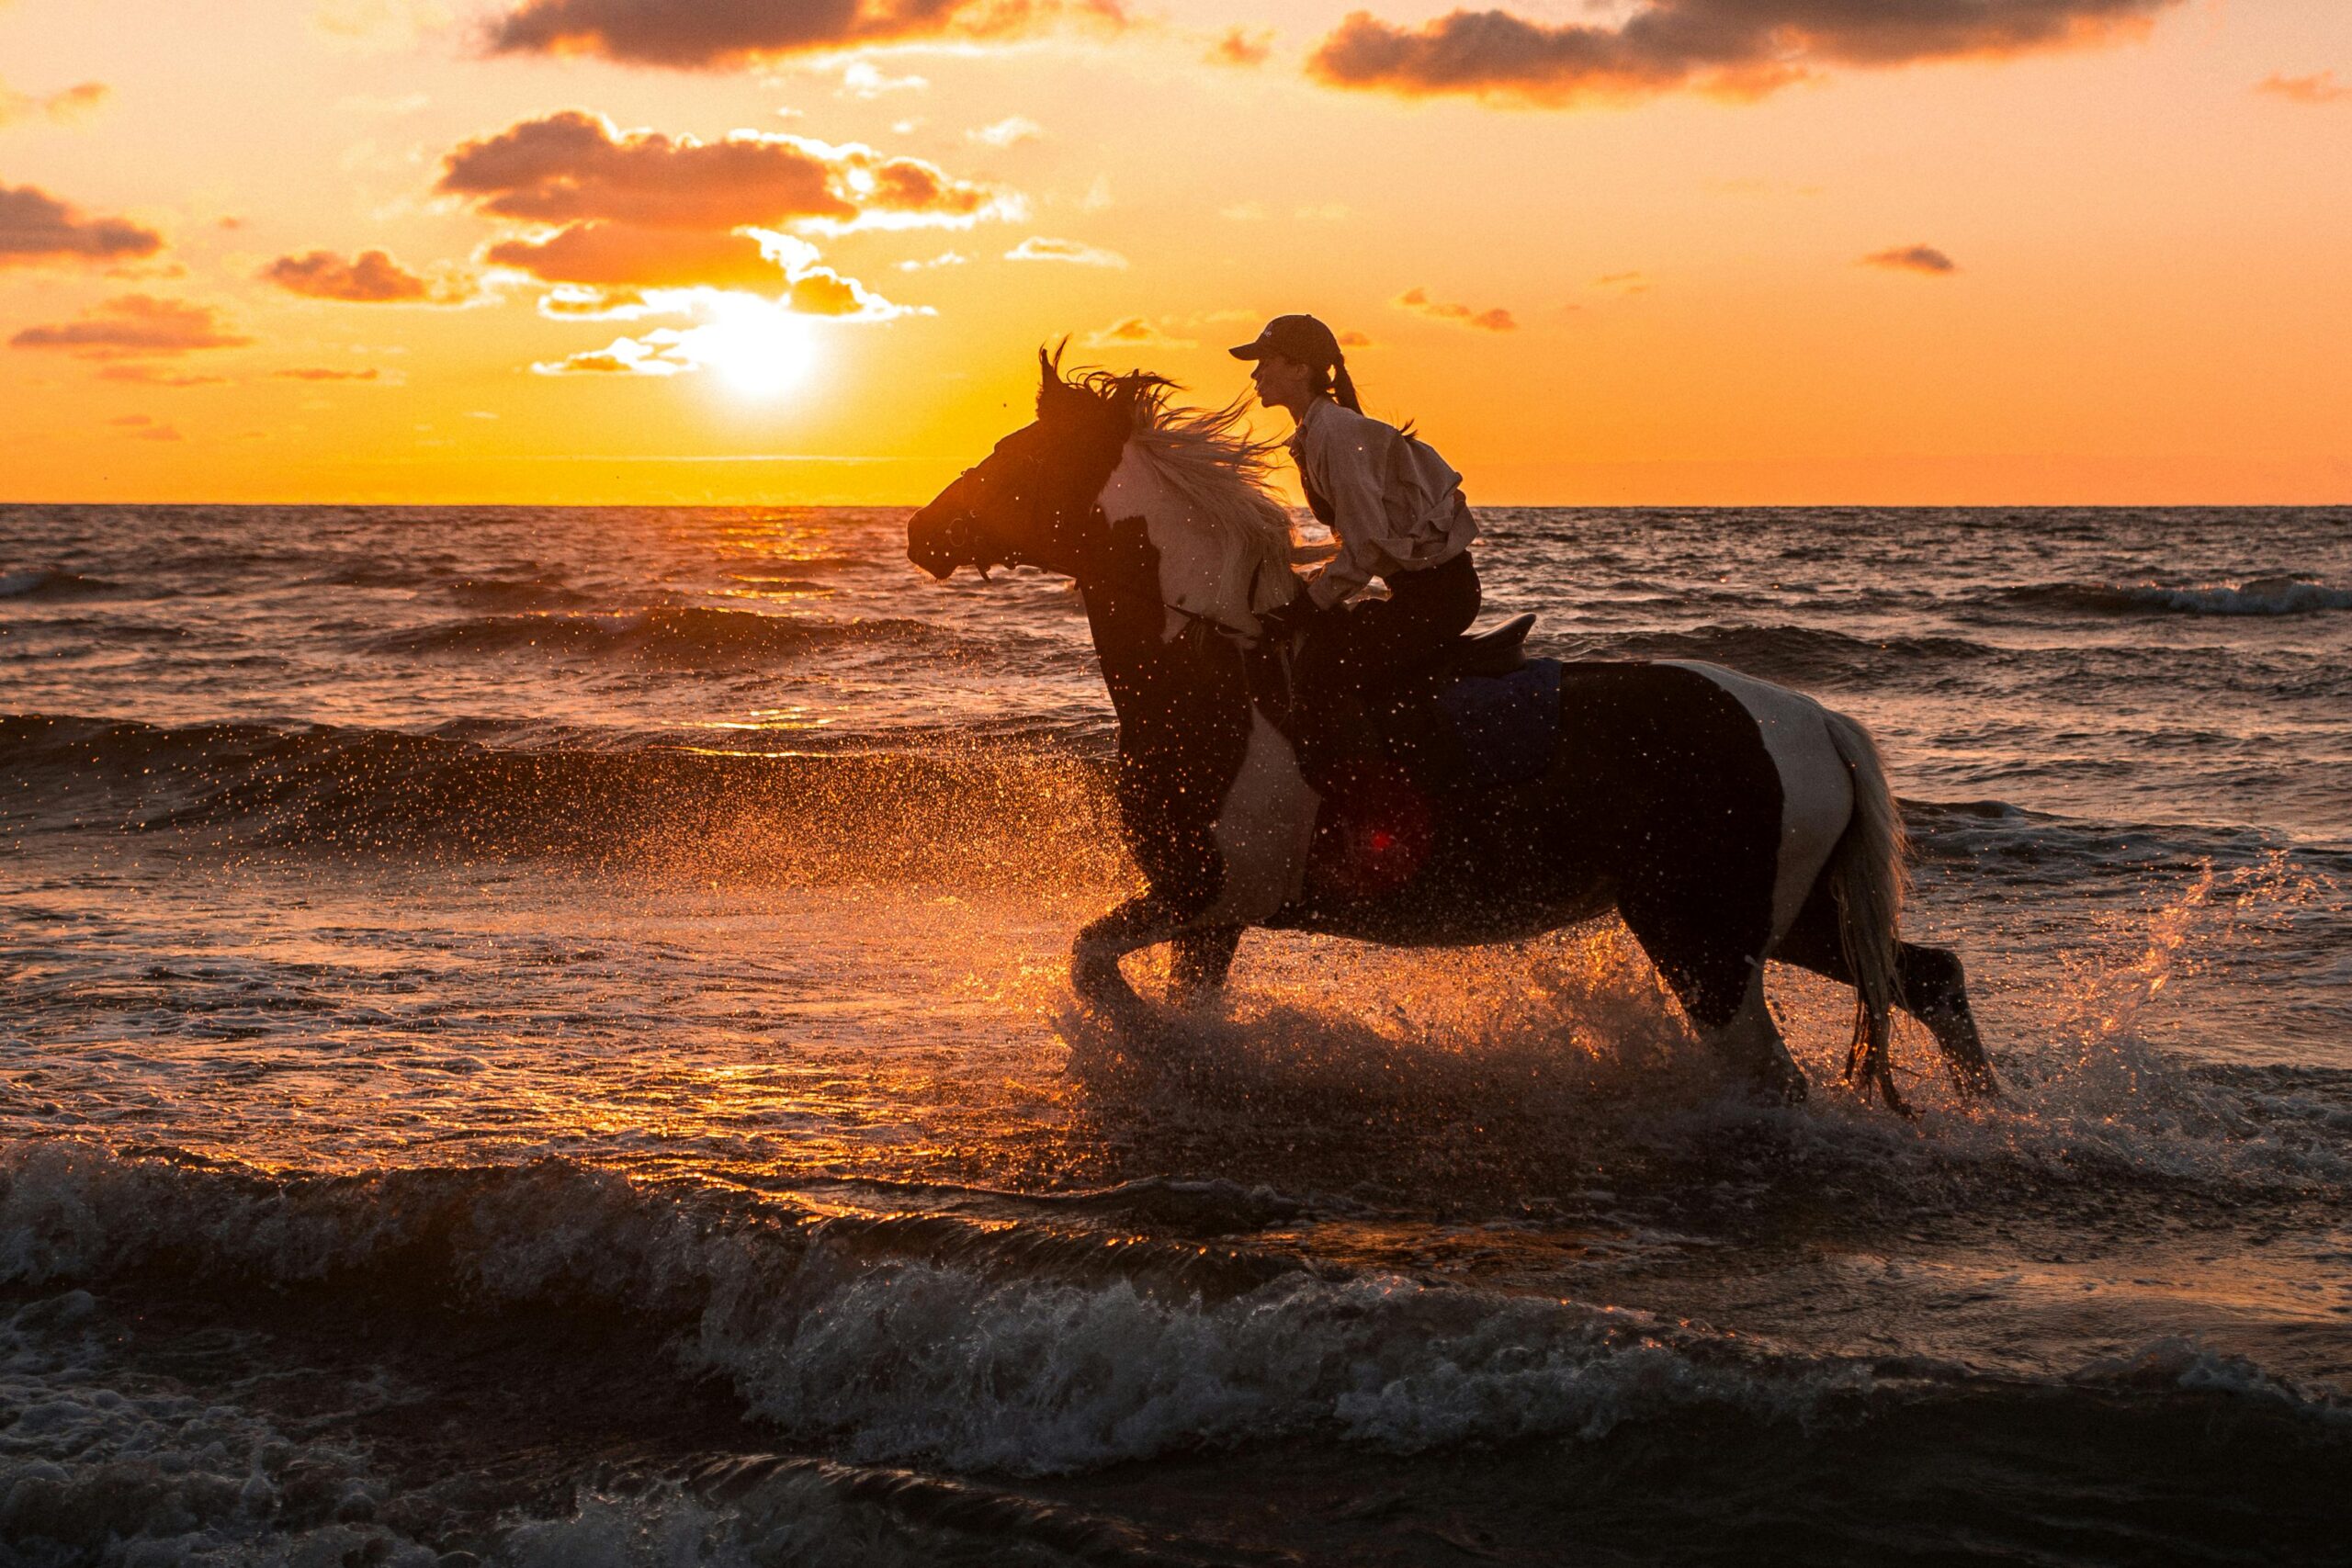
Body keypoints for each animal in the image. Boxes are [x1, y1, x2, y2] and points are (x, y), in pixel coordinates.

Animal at [908, 352, 1994, 1114]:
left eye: (1017, 459)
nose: (923, 533)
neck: (1211, 675)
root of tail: (1813, 720)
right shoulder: (1210, 918)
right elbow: (1146, 990)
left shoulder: (1206, 891)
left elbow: (1090, 966)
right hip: (1782, 914)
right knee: (1932, 977)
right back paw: (1991, 1119)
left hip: (1704, 935)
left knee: (1778, 1070)